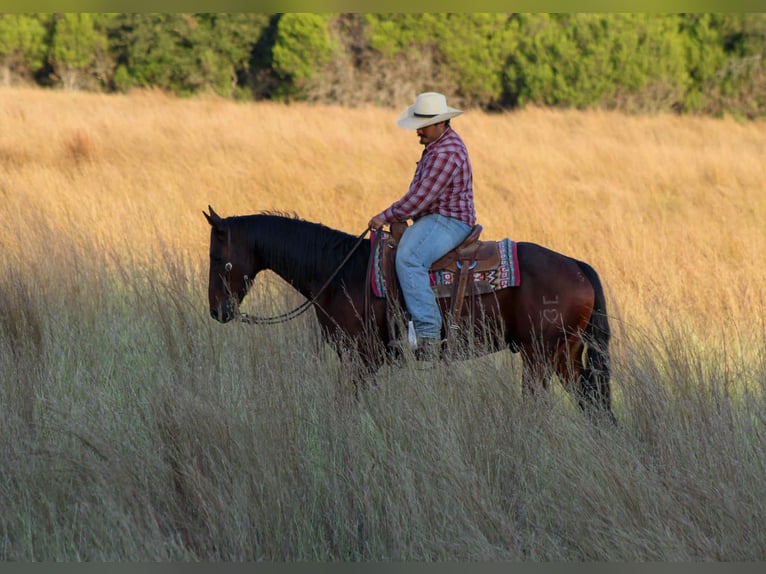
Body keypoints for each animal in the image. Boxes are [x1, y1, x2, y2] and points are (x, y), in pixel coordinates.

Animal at [203, 206, 615, 422]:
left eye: (216, 258)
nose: (216, 311)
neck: (339, 271)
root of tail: (577, 265)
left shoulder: (361, 358)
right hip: (565, 353)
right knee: (590, 400)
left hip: (538, 355)